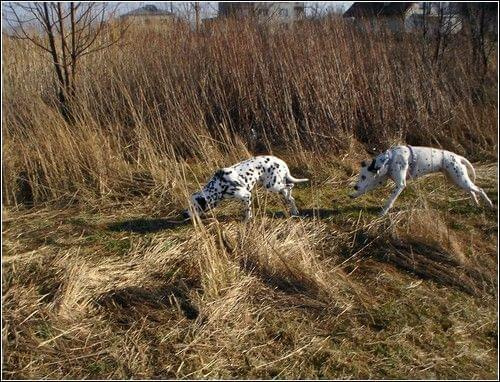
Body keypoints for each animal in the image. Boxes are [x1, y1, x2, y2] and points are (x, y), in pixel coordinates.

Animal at [350, 144, 494, 215]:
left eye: (363, 176)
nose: (355, 187)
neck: (389, 159)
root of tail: (457, 156)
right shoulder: (379, 181)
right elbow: (365, 189)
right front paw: (354, 194)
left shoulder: (400, 185)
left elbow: (390, 201)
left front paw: (383, 212)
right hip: (457, 180)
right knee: (472, 190)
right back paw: (476, 203)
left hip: (460, 180)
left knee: (479, 189)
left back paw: (489, 204)